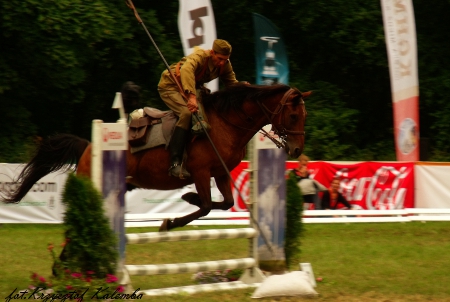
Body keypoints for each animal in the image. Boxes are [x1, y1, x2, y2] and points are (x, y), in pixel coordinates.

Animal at [0, 83, 310, 231]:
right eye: (294, 115)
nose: (296, 151)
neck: (225, 122)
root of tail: (89, 147)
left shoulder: (220, 173)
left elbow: (225, 203)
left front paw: (187, 199)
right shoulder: (200, 172)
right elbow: (206, 206)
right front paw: (170, 221)